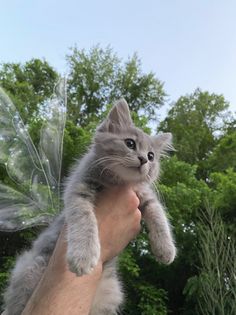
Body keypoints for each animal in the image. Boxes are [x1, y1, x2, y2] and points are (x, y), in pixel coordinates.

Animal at [3, 100, 176, 315]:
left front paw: (166, 249)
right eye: (130, 143)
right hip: (31, 271)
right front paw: (83, 256)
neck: (117, 181)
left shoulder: (145, 195)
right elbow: (84, 220)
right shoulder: (78, 191)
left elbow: (159, 216)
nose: (144, 159)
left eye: (152, 156)